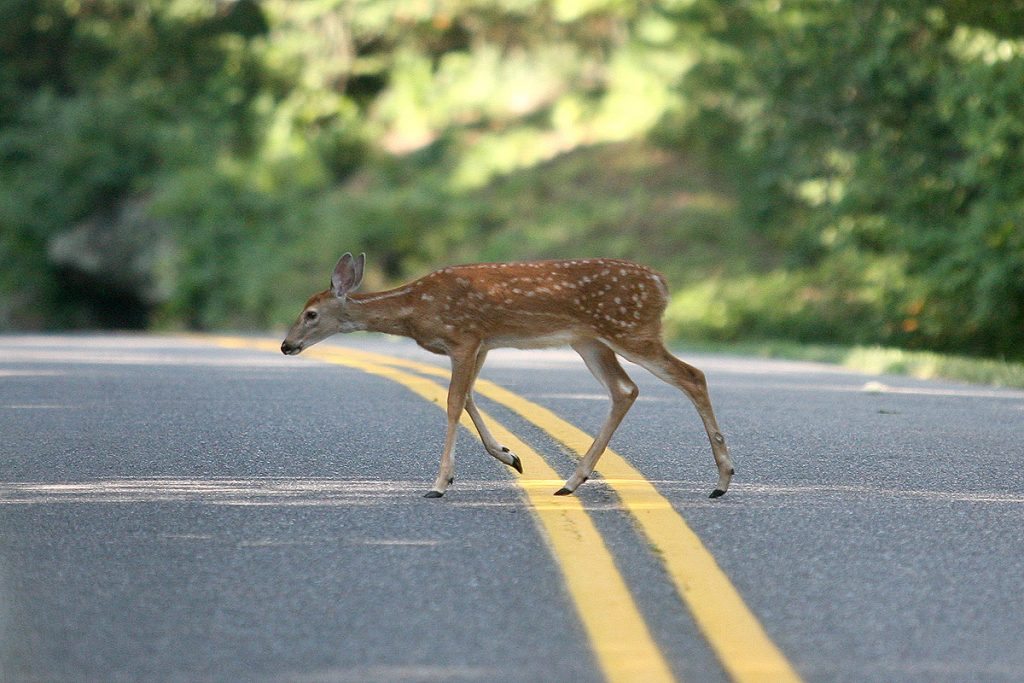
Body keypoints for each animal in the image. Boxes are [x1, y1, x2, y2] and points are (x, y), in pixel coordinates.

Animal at [281, 253, 734, 499]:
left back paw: (723, 480)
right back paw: (571, 481)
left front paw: (440, 482)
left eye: (311, 314)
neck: (415, 310)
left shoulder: (465, 337)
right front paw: (509, 455)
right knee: (625, 389)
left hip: (631, 329)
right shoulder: (481, 344)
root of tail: (663, 284)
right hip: (590, 340)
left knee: (692, 375)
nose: (286, 345)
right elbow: (468, 398)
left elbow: (453, 402)